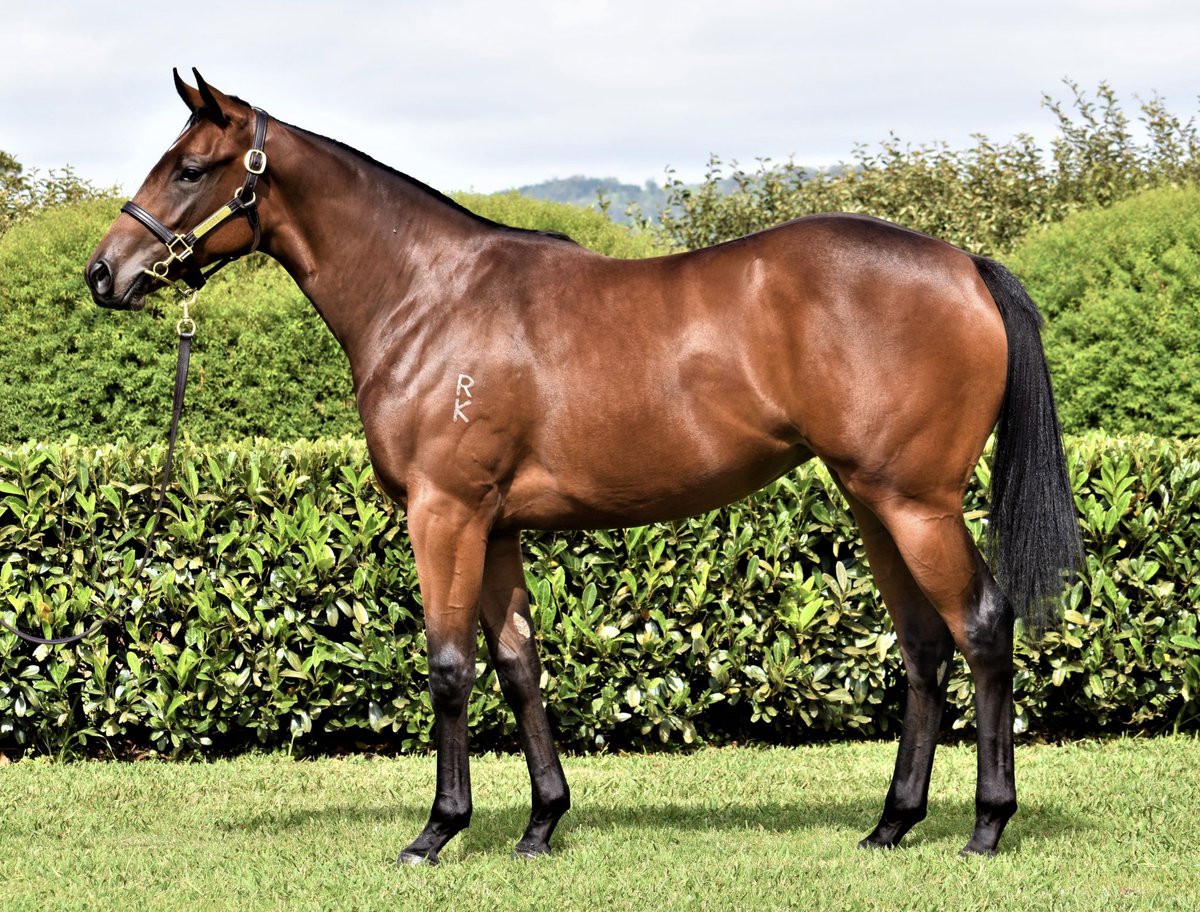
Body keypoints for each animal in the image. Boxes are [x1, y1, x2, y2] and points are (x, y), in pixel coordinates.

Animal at [85, 70, 1080, 864]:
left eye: (189, 168)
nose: (104, 273)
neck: (427, 297)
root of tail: (962, 264)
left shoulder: (444, 513)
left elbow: (450, 666)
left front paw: (437, 831)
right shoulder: (495, 528)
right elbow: (518, 664)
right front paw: (539, 824)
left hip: (917, 504)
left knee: (982, 627)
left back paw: (986, 825)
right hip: (873, 502)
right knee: (922, 644)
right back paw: (891, 823)